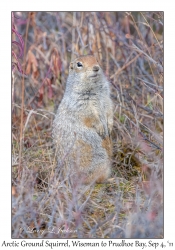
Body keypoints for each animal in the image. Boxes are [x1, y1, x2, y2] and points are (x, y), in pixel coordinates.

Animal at [52, 55, 113, 184]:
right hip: (100, 159)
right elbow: (90, 115)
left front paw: (110, 126)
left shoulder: (106, 97)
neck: (94, 86)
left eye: (97, 59)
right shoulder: (80, 102)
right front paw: (100, 127)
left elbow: (109, 109)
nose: (96, 68)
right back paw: (110, 179)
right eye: (79, 64)